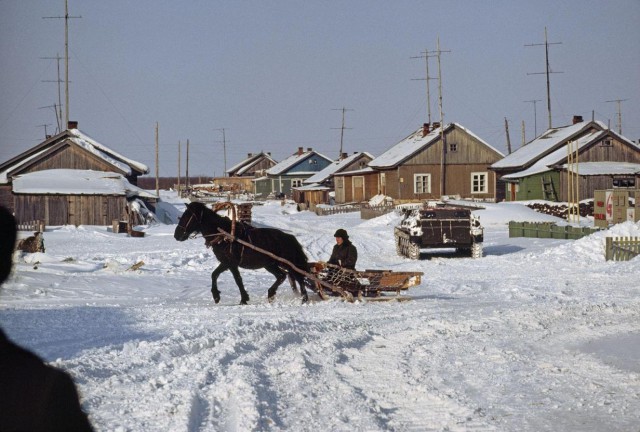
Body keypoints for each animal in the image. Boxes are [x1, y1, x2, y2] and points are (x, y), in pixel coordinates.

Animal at [171, 202, 308, 304]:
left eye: (187, 217)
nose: (176, 235)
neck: (223, 235)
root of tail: (289, 237)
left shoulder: (231, 263)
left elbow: (237, 280)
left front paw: (243, 299)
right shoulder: (225, 262)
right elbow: (214, 275)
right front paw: (216, 296)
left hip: (288, 263)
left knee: (299, 277)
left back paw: (304, 299)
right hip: (270, 264)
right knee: (282, 276)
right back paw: (272, 294)